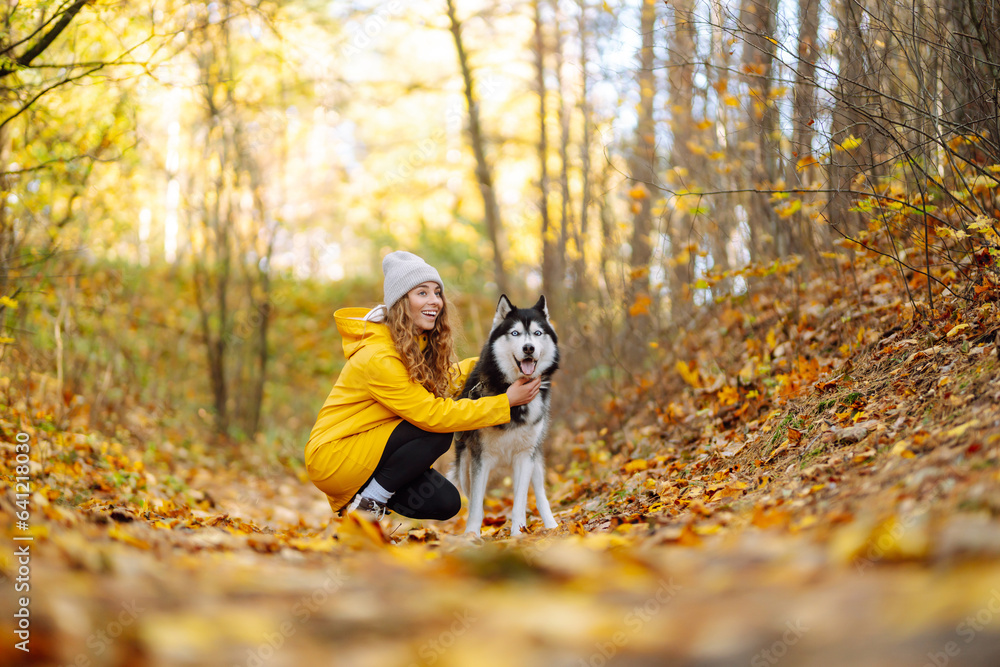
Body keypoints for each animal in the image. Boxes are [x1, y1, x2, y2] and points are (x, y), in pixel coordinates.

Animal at [454, 294, 564, 536]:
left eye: (537, 333)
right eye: (515, 333)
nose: (528, 348)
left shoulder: (524, 457)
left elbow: (520, 501)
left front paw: (518, 533)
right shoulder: (480, 458)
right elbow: (476, 505)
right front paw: (472, 535)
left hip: (534, 459)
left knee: (540, 494)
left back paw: (551, 524)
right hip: (464, 467)